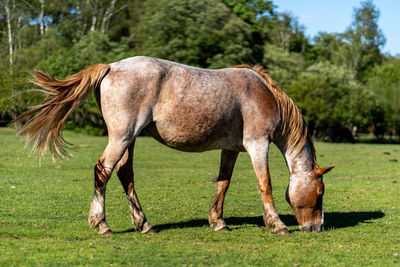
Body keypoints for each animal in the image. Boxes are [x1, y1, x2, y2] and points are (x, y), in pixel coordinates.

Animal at [13, 56, 334, 234]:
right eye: (319, 193)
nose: (316, 227)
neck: (263, 94)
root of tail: (111, 67)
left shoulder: (231, 150)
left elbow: (223, 183)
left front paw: (218, 221)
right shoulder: (258, 145)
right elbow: (264, 183)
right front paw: (277, 225)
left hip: (130, 139)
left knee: (125, 175)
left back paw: (143, 224)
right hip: (121, 137)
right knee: (102, 171)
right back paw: (102, 224)